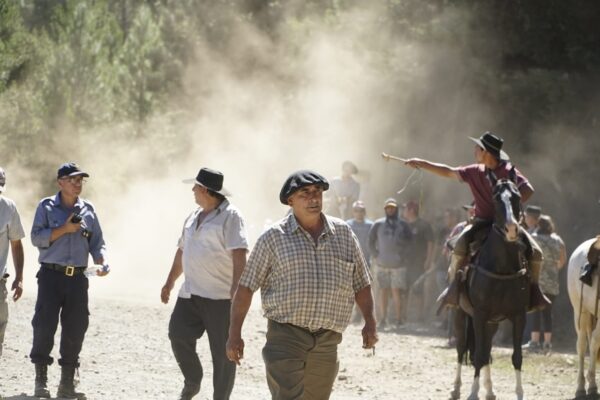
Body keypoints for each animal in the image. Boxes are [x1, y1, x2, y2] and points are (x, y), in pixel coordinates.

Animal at [450, 177, 528, 400]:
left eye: (517, 196)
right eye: (495, 199)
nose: (512, 229)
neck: (501, 267)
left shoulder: (519, 315)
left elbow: (516, 356)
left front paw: (519, 393)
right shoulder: (479, 314)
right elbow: (477, 355)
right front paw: (473, 392)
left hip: (492, 324)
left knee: (486, 350)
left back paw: (490, 390)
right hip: (460, 314)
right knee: (462, 348)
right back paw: (456, 388)